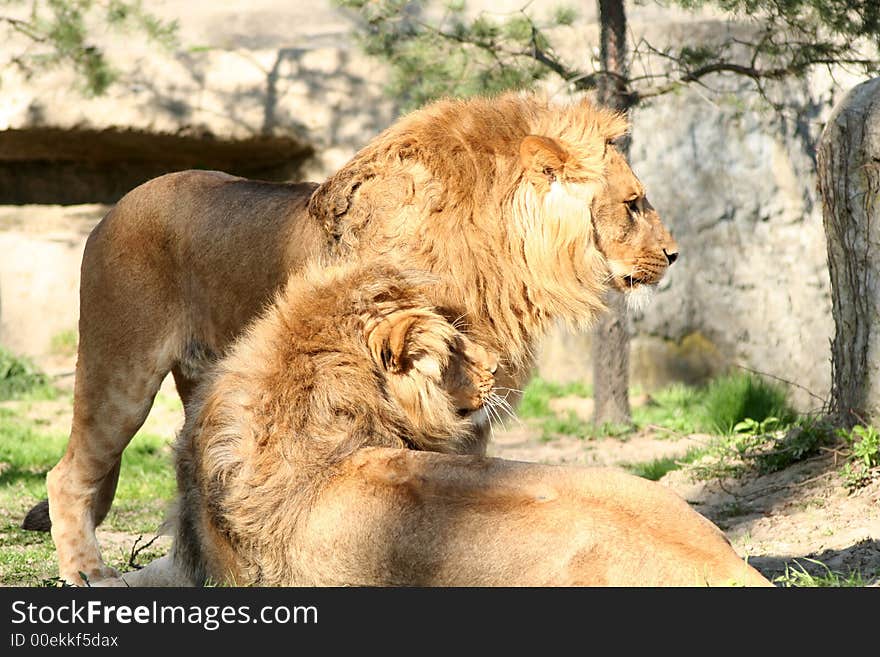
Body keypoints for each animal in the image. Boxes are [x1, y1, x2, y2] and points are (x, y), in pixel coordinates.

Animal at [31, 89, 680, 580]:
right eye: (633, 203)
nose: (674, 255)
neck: (502, 256)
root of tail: (112, 208)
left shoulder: (462, 410)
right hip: (119, 371)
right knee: (68, 475)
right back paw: (86, 570)